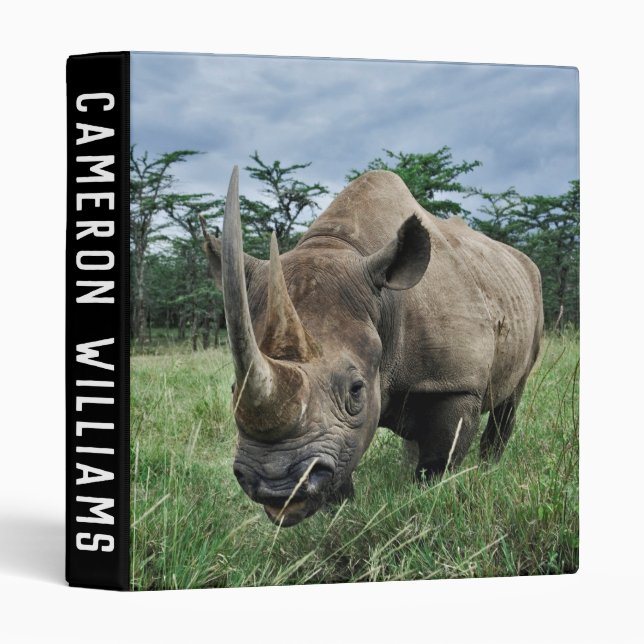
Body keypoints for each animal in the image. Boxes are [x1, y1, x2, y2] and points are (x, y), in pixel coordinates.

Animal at [201, 167, 543, 527]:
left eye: (356, 390)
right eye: (233, 389)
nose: (276, 486)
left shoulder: (456, 383)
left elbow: (438, 463)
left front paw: (426, 499)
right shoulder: (339, 435)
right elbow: (342, 467)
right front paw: (343, 515)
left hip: (528, 290)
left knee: (512, 395)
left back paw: (489, 470)